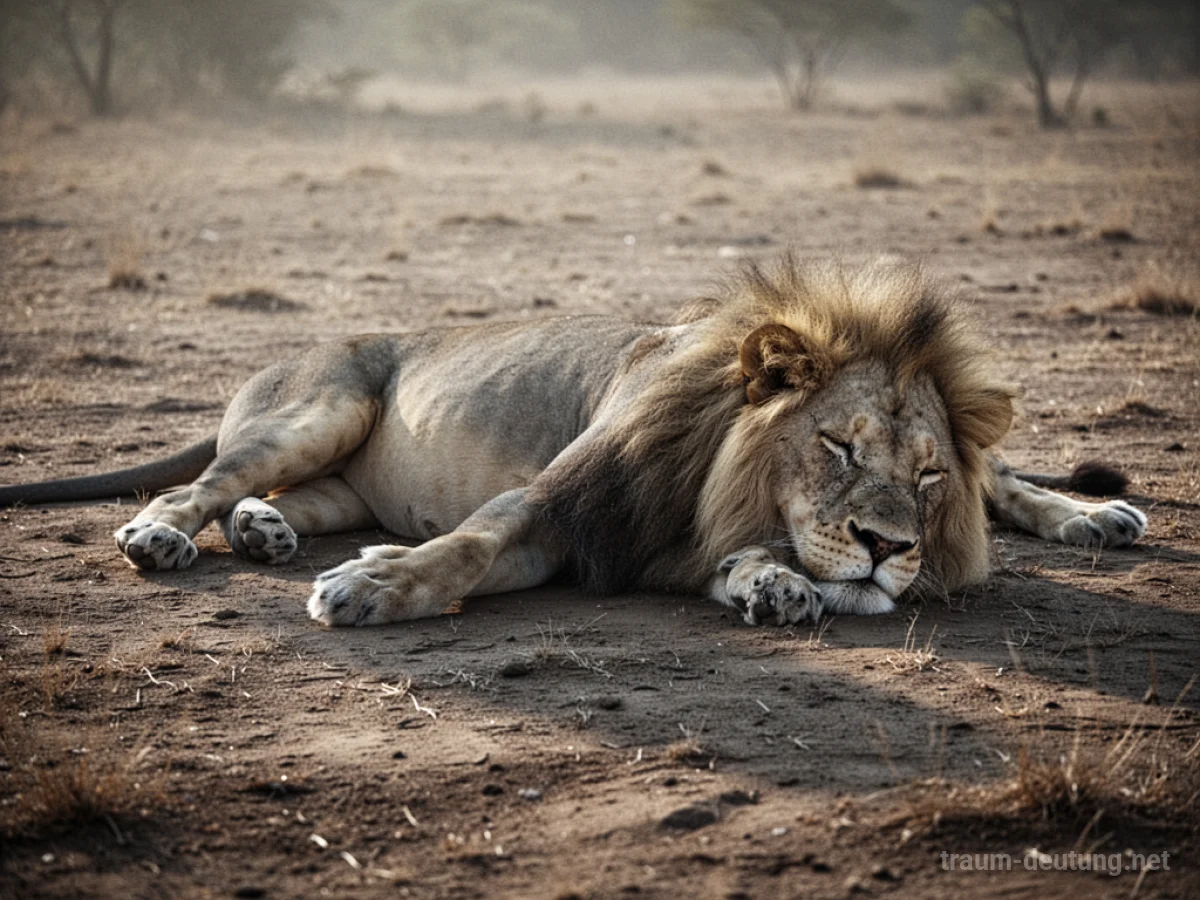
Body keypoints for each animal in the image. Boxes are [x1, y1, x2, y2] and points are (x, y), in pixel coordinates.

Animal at [0, 258, 1147, 627]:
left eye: (924, 474)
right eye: (836, 448)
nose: (890, 548)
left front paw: (775, 585)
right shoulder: (562, 509)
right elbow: (462, 547)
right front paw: (372, 586)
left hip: (342, 478)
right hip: (321, 409)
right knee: (201, 485)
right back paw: (172, 536)